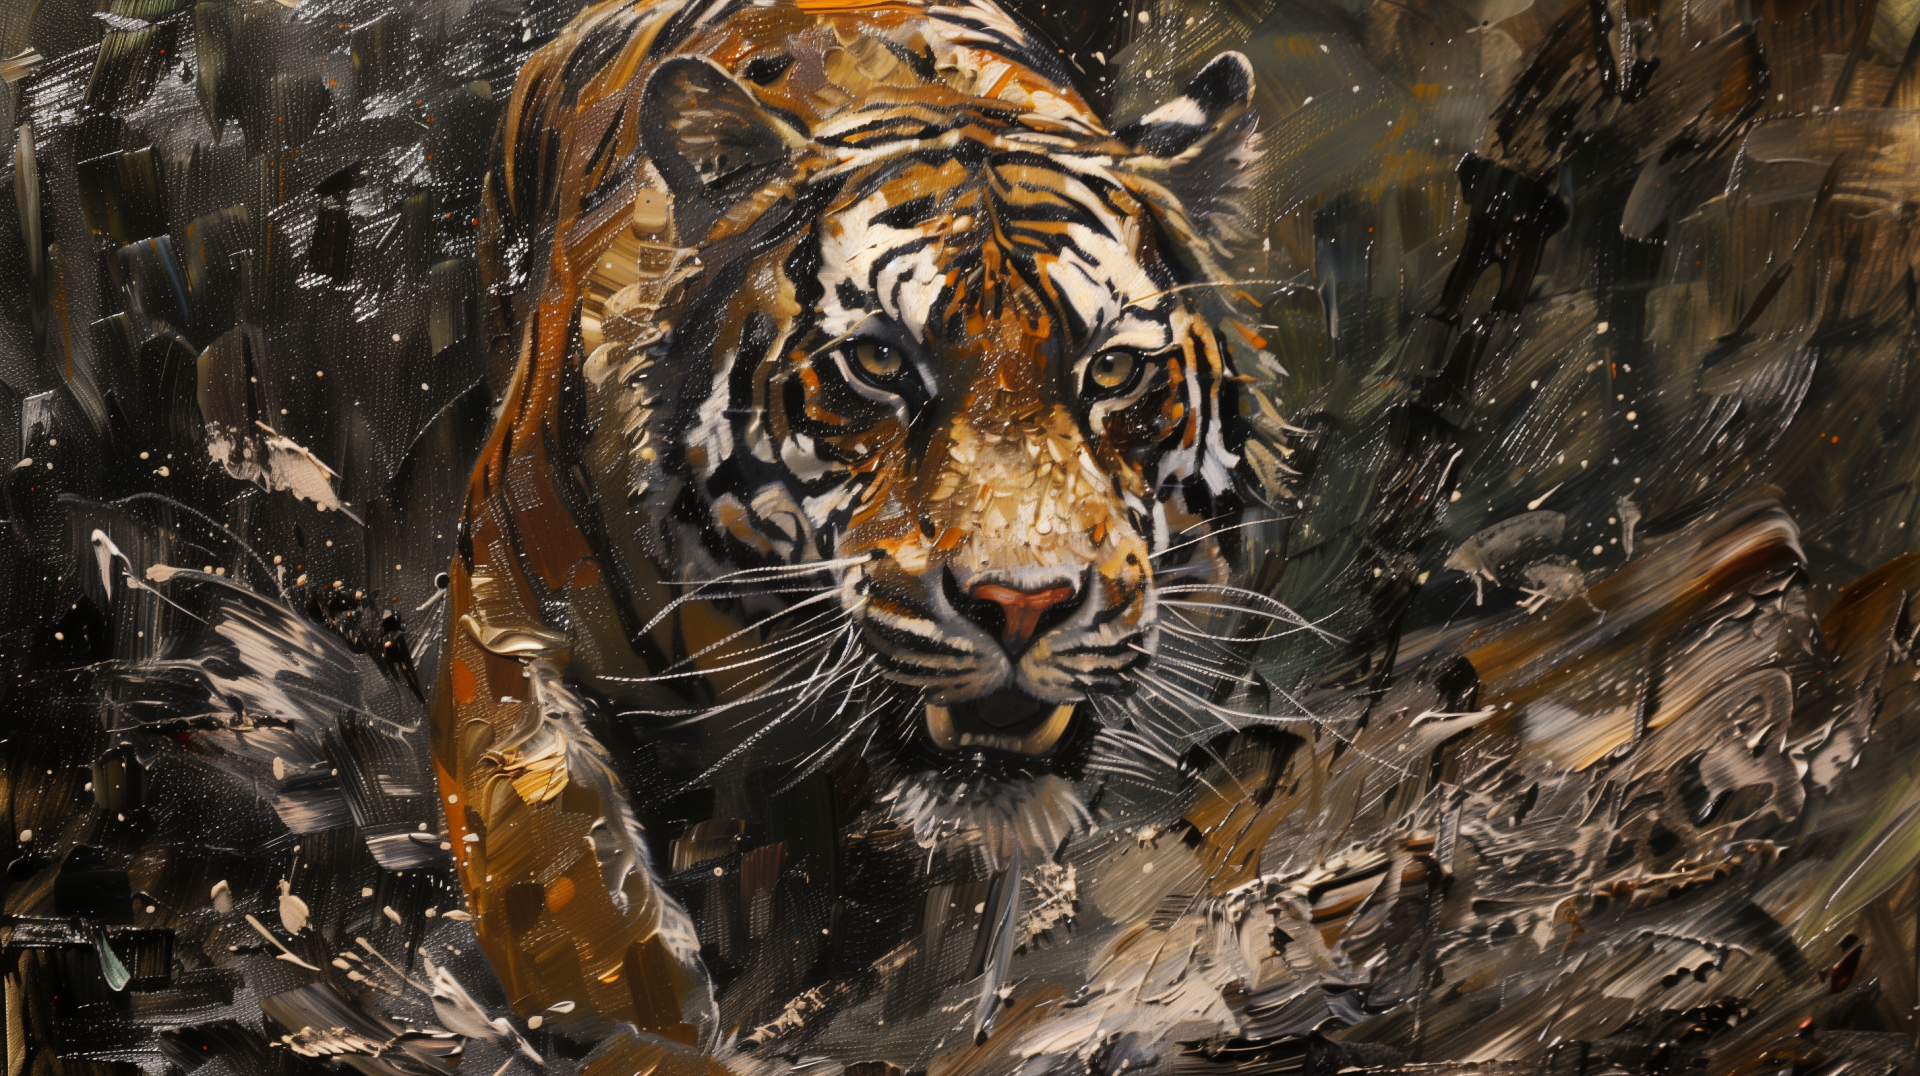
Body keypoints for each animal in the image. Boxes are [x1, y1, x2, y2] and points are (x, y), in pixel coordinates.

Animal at [430, 0, 1283, 1062]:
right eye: (879, 363)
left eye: (1115, 371)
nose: (1023, 605)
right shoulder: (502, 620)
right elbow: (580, 903)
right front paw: (648, 1032)